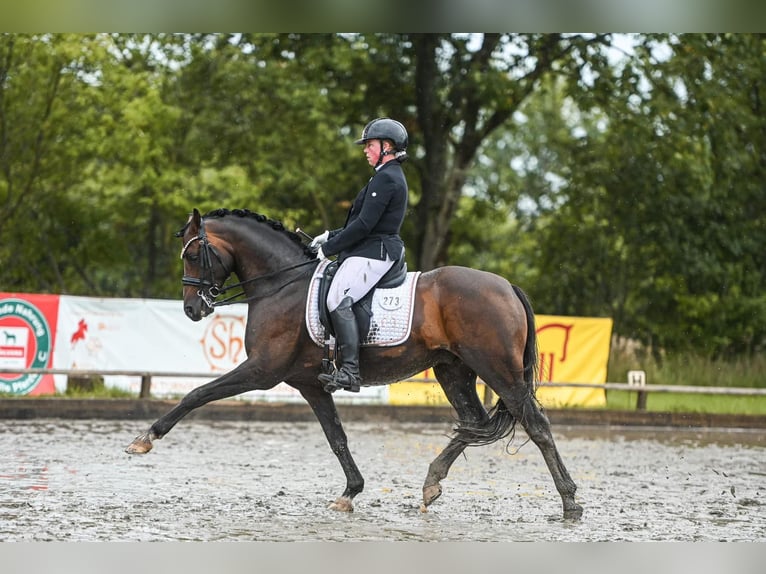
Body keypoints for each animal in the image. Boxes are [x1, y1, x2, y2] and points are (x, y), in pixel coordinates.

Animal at [124, 209, 584, 520]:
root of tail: (506, 285)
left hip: (497, 370)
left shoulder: (262, 370)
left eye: (193, 255)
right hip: (452, 370)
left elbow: (197, 393)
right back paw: (431, 483)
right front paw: (351, 491)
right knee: (474, 422)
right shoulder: (309, 383)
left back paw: (569, 501)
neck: (281, 283)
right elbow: (337, 437)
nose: (192, 309)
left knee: (535, 424)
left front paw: (145, 438)